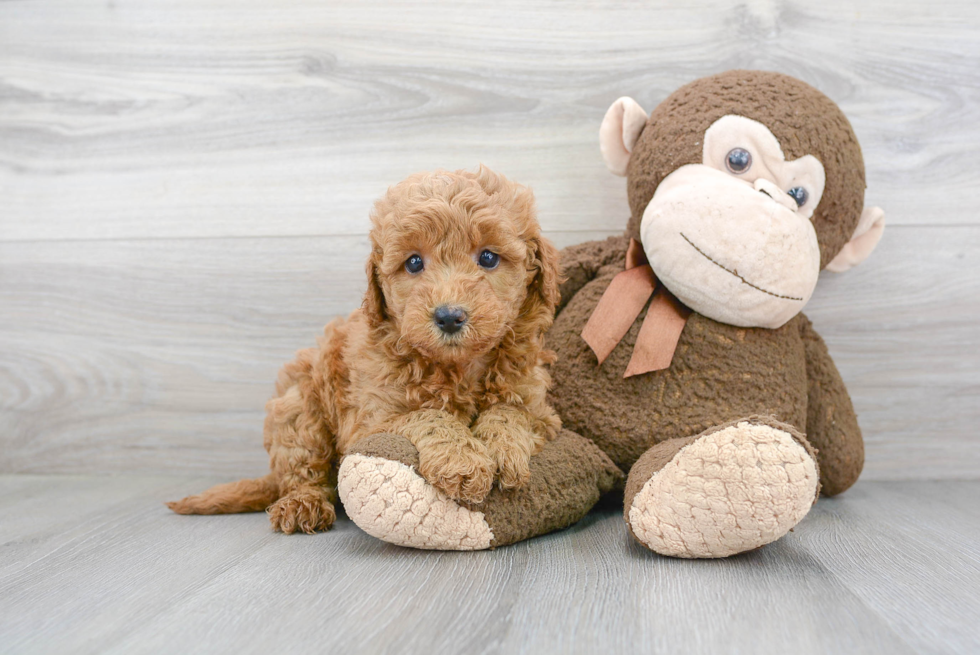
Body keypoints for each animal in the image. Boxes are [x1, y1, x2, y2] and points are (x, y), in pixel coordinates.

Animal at [168, 167, 560, 536]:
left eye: (489, 257)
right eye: (414, 263)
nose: (449, 316)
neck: (458, 367)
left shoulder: (539, 407)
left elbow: (511, 412)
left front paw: (502, 449)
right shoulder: (371, 420)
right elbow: (429, 417)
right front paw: (462, 460)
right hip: (298, 409)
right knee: (303, 472)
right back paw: (302, 505)